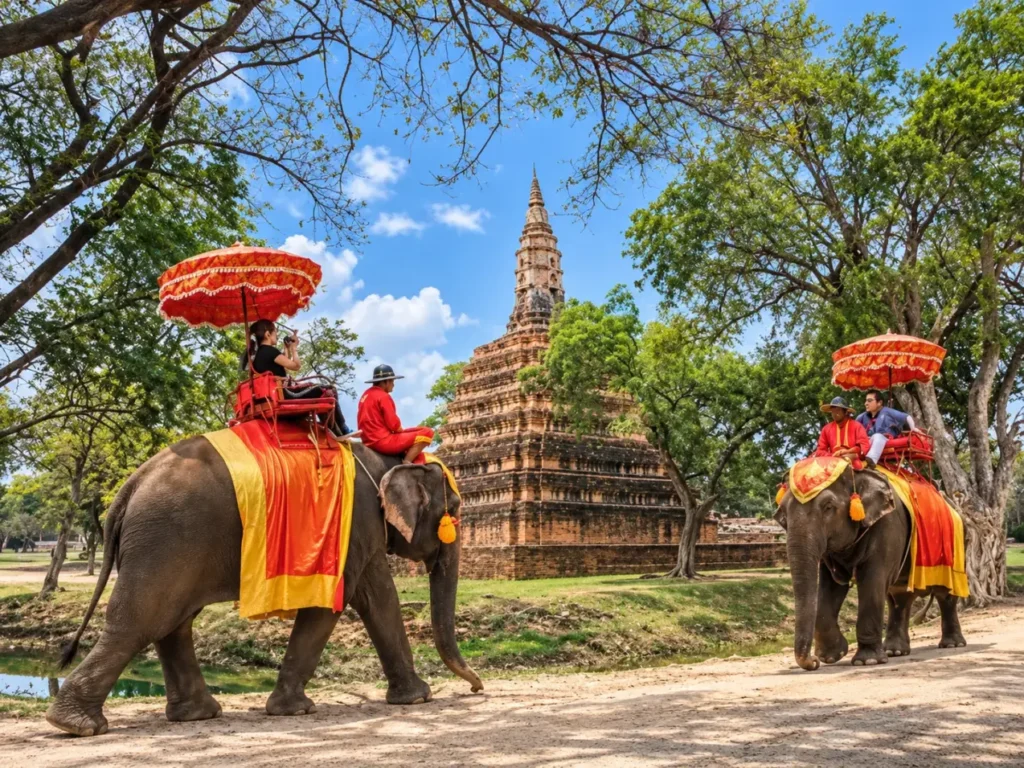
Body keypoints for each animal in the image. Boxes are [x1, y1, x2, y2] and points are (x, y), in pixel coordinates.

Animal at [45, 436, 482, 737]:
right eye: (457, 509)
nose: (477, 689)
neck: (386, 459)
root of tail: (129, 486)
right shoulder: (353, 523)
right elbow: (339, 603)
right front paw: (298, 710)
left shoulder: (361, 531)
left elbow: (376, 598)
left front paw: (415, 697)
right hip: (164, 540)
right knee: (142, 622)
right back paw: (76, 725)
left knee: (173, 623)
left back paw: (197, 715)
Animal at [774, 467, 966, 671]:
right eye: (782, 512)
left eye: (828, 506)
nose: (813, 662)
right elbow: (831, 586)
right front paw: (833, 655)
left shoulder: (887, 527)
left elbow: (871, 581)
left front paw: (867, 661)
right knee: (899, 598)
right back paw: (895, 651)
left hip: (955, 548)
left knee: (945, 595)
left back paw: (952, 644)